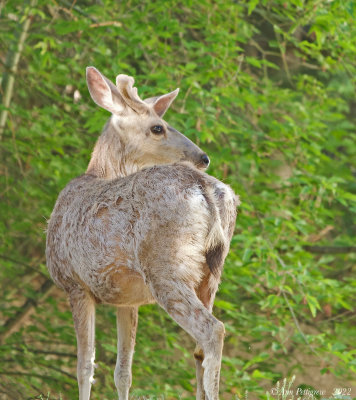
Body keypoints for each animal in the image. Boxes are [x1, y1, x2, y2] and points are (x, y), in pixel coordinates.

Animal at [45, 66, 239, 400]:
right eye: (158, 127)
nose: (203, 157)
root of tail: (204, 187)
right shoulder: (127, 299)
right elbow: (123, 371)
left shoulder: (75, 283)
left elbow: (85, 366)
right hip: (210, 275)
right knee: (199, 348)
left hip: (165, 265)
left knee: (213, 330)